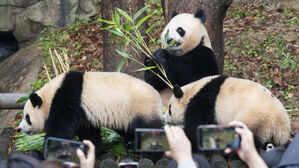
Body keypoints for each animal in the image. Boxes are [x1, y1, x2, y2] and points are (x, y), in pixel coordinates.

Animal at [18, 70, 164, 155]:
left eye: (27, 117)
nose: (19, 128)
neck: (51, 96)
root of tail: (158, 97)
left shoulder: (66, 102)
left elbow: (59, 133)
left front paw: (43, 153)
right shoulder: (84, 114)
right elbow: (89, 134)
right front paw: (91, 150)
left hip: (141, 109)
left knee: (149, 131)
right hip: (125, 116)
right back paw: (130, 143)